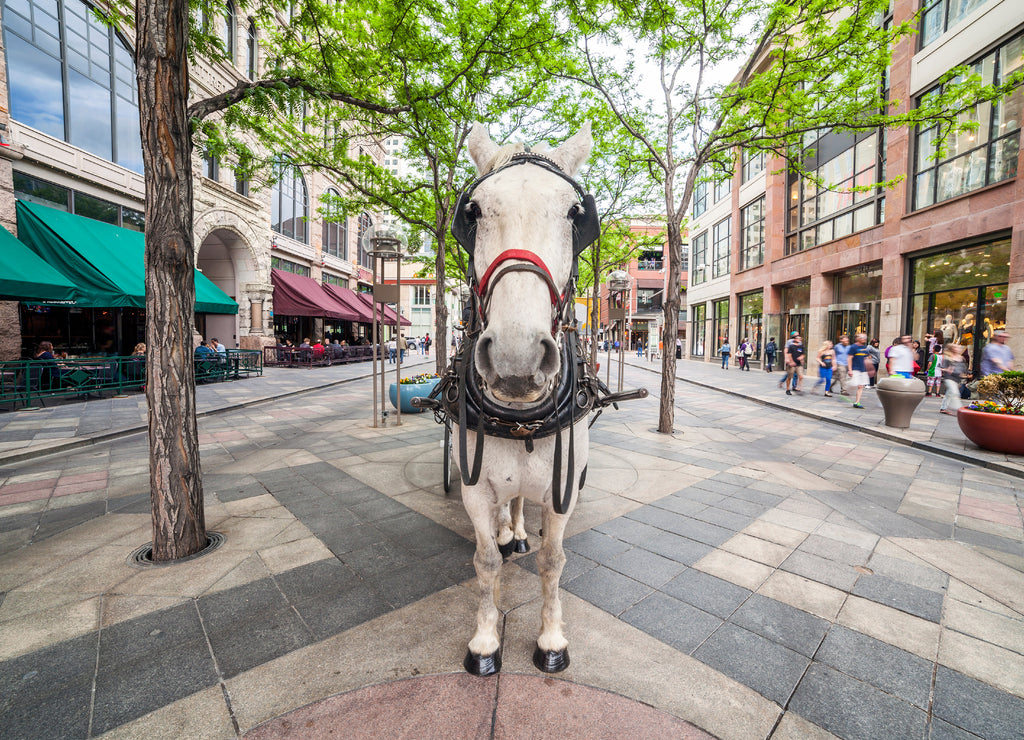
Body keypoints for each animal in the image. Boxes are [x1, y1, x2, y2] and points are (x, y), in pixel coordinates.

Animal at [418, 122, 645, 676]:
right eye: (473, 213)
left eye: (576, 215)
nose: (516, 358)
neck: (521, 418)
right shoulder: (475, 486)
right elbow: (484, 561)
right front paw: (484, 643)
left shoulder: (563, 487)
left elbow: (551, 560)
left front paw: (551, 640)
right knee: (509, 507)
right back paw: (508, 534)